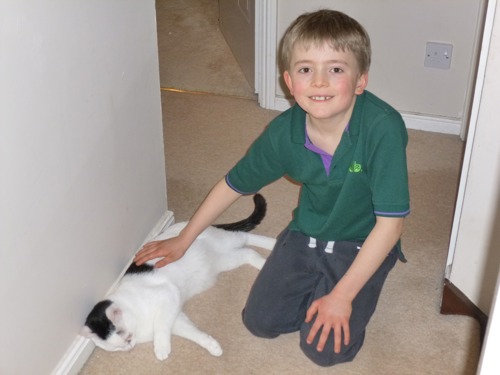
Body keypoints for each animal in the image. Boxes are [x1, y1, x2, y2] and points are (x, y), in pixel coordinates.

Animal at [80, 194, 276, 362]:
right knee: (247, 252)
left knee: (245, 236)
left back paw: (273, 244)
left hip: (226, 242)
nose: (129, 346)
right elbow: (192, 333)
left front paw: (161, 348)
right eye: (117, 348)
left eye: (125, 336)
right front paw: (212, 346)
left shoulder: (167, 295)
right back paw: (263, 262)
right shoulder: (175, 317)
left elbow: (160, 327)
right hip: (225, 260)